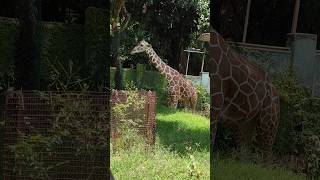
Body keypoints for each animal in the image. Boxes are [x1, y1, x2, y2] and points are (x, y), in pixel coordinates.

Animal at [208, 27, 280, 160]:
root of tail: (276, 90)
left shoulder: (215, 102)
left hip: (269, 120)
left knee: (267, 154)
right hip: (242, 123)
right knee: (244, 153)